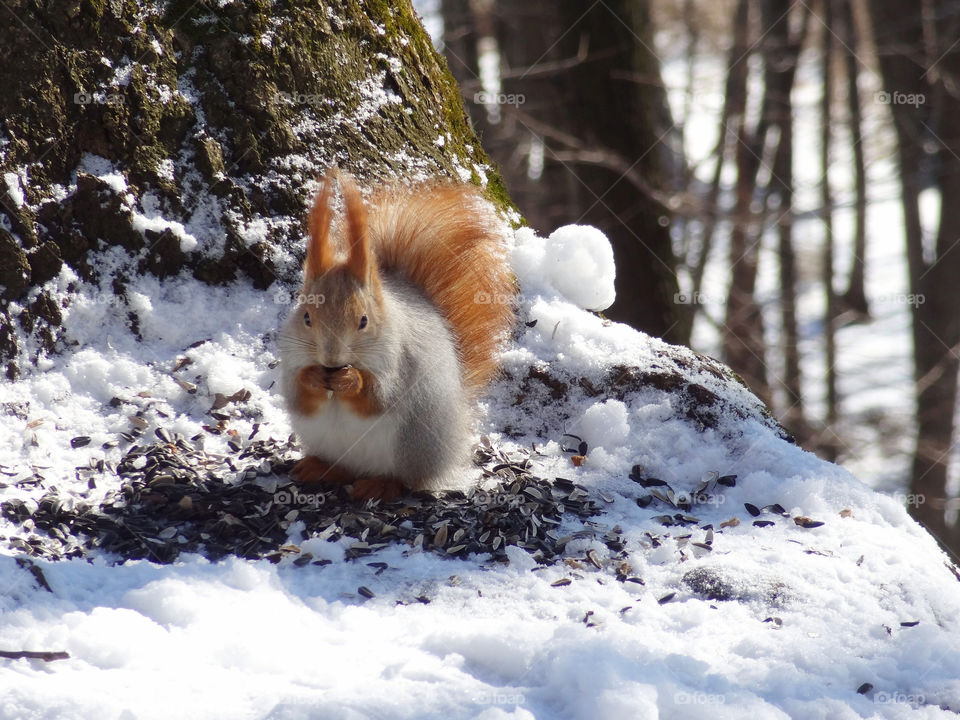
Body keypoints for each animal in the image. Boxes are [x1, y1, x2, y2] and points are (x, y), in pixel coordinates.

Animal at [277, 171, 515, 501]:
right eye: (306, 317)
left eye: (364, 320)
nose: (331, 360)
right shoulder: (290, 358)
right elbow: (298, 394)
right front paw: (312, 376)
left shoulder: (400, 361)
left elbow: (379, 397)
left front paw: (351, 380)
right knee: (344, 469)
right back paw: (320, 468)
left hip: (411, 446)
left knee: (405, 480)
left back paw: (380, 483)